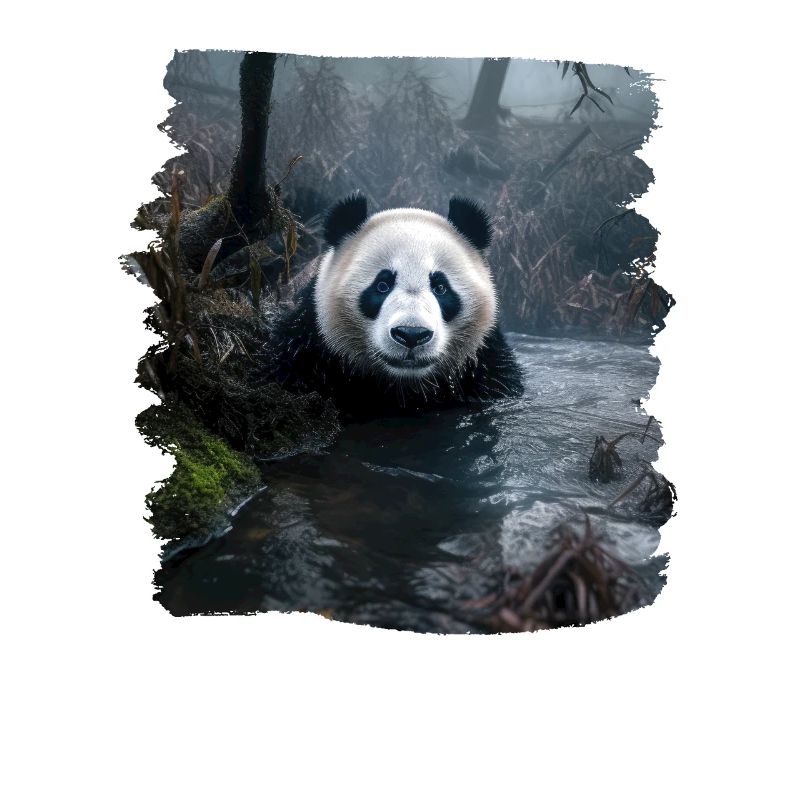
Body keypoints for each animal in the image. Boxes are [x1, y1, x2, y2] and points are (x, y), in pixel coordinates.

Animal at [265, 194, 523, 417]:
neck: (403, 387)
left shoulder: (485, 365)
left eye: (440, 287)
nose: (411, 334)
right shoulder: (307, 349)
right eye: (382, 285)